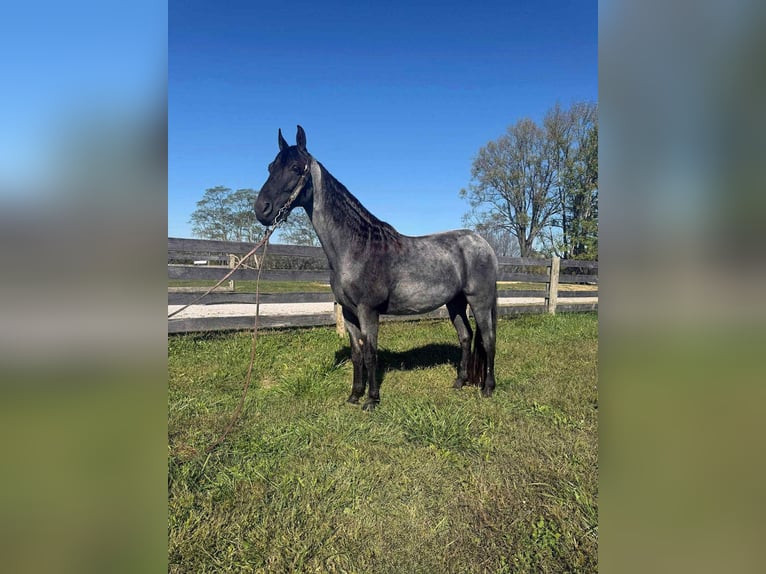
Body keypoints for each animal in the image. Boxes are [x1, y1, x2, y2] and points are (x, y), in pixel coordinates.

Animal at [255, 125, 497, 410]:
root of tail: (483, 243)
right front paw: (354, 395)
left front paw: (371, 400)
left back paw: (488, 388)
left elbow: (370, 354)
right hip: (455, 303)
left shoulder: (368, 311)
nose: (261, 209)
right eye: (271, 167)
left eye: (295, 168)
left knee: (488, 340)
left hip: (479, 301)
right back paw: (459, 382)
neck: (357, 247)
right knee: (466, 337)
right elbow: (357, 354)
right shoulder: (349, 313)